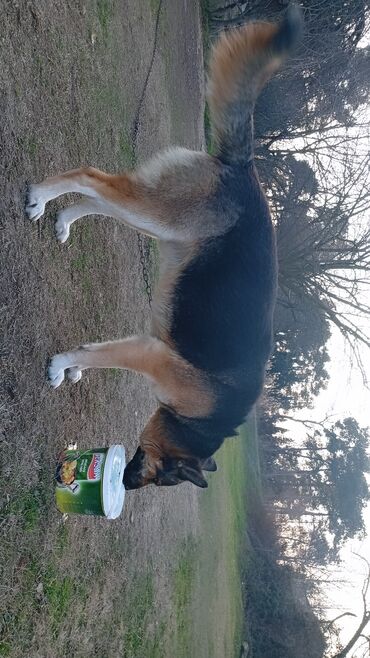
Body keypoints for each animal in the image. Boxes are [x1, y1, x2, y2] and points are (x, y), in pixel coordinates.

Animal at [26, 3, 304, 486]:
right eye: (169, 477)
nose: (125, 483)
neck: (199, 417)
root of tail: (244, 168)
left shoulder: (145, 343)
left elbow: (97, 353)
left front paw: (74, 367)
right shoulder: (151, 355)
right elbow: (96, 355)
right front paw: (63, 365)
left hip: (160, 223)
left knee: (98, 199)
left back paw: (62, 219)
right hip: (157, 213)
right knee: (90, 178)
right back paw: (41, 197)